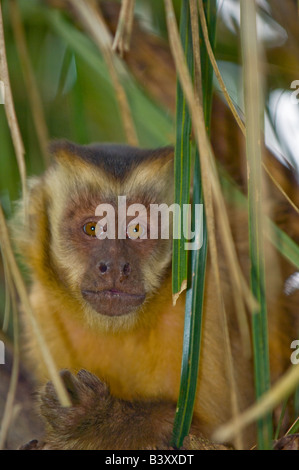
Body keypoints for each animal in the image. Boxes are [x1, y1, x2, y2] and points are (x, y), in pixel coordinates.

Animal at [14, 141, 299, 450]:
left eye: (137, 228)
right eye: (92, 228)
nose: (115, 265)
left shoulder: (207, 299)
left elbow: (221, 435)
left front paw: (99, 418)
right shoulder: (41, 312)